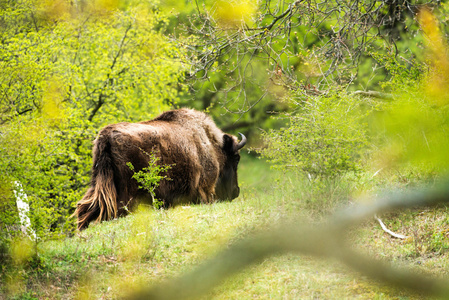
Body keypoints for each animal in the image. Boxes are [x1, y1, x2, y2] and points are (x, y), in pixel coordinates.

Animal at [75, 108, 247, 230]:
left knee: (85, 209)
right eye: (236, 158)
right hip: (125, 194)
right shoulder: (205, 189)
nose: (236, 191)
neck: (210, 144)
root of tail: (106, 137)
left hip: (99, 184)